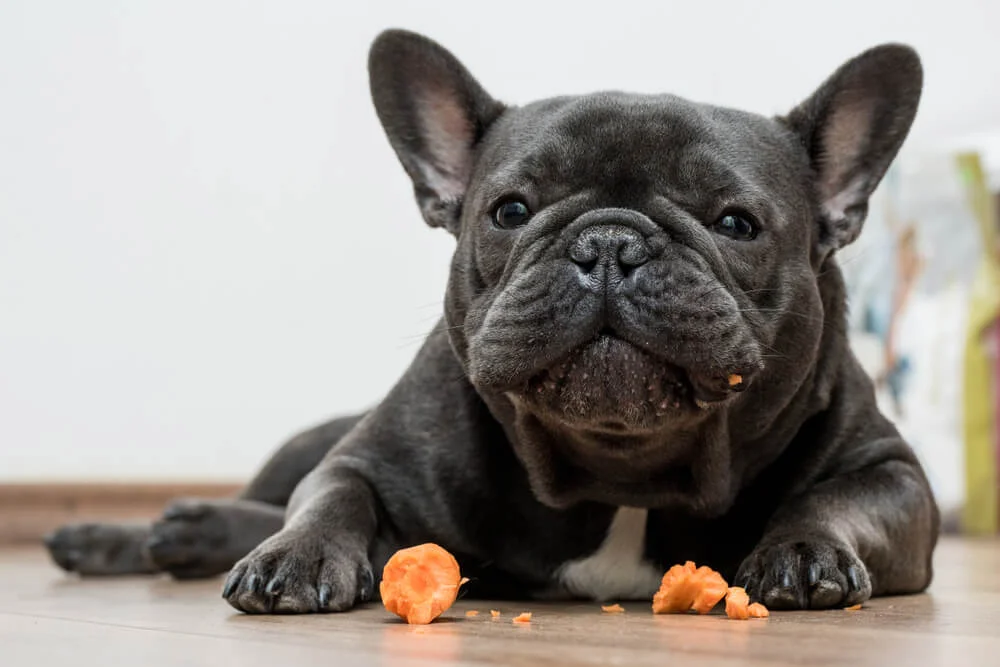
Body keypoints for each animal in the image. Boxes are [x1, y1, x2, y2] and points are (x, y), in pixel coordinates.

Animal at [47, 31, 936, 616]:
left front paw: (803, 548)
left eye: (736, 224)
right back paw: (131, 533)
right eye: (510, 210)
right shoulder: (368, 455)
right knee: (274, 493)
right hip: (304, 440)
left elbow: (836, 499)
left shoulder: (894, 476)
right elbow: (330, 496)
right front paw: (295, 555)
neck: (621, 474)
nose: (608, 242)